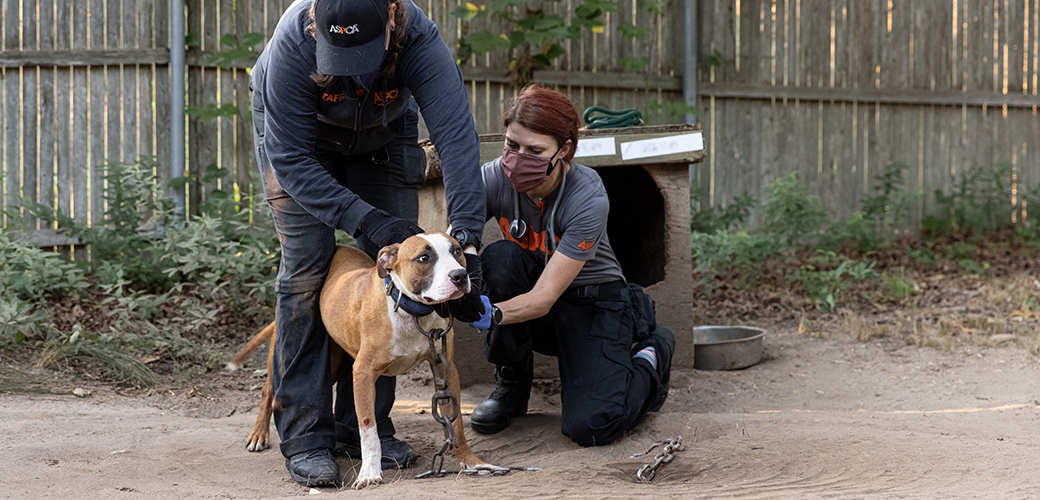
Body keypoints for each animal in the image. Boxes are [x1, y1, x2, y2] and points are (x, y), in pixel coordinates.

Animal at [227, 232, 486, 486]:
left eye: (457, 251)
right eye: (424, 258)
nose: (459, 276)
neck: (410, 311)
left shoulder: (445, 368)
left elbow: (456, 424)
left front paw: (471, 462)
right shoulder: (363, 372)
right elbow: (368, 428)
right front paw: (369, 473)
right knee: (268, 390)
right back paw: (259, 435)